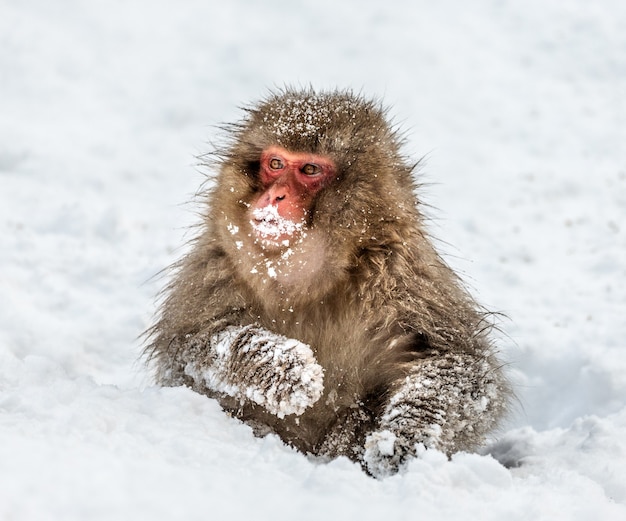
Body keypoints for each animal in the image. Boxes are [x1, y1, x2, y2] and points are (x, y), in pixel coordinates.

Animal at [145, 88, 508, 476]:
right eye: (275, 164)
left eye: (309, 169)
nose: (274, 196)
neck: (306, 283)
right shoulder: (217, 267)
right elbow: (186, 350)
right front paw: (278, 367)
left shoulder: (400, 275)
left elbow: (460, 363)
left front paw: (404, 435)